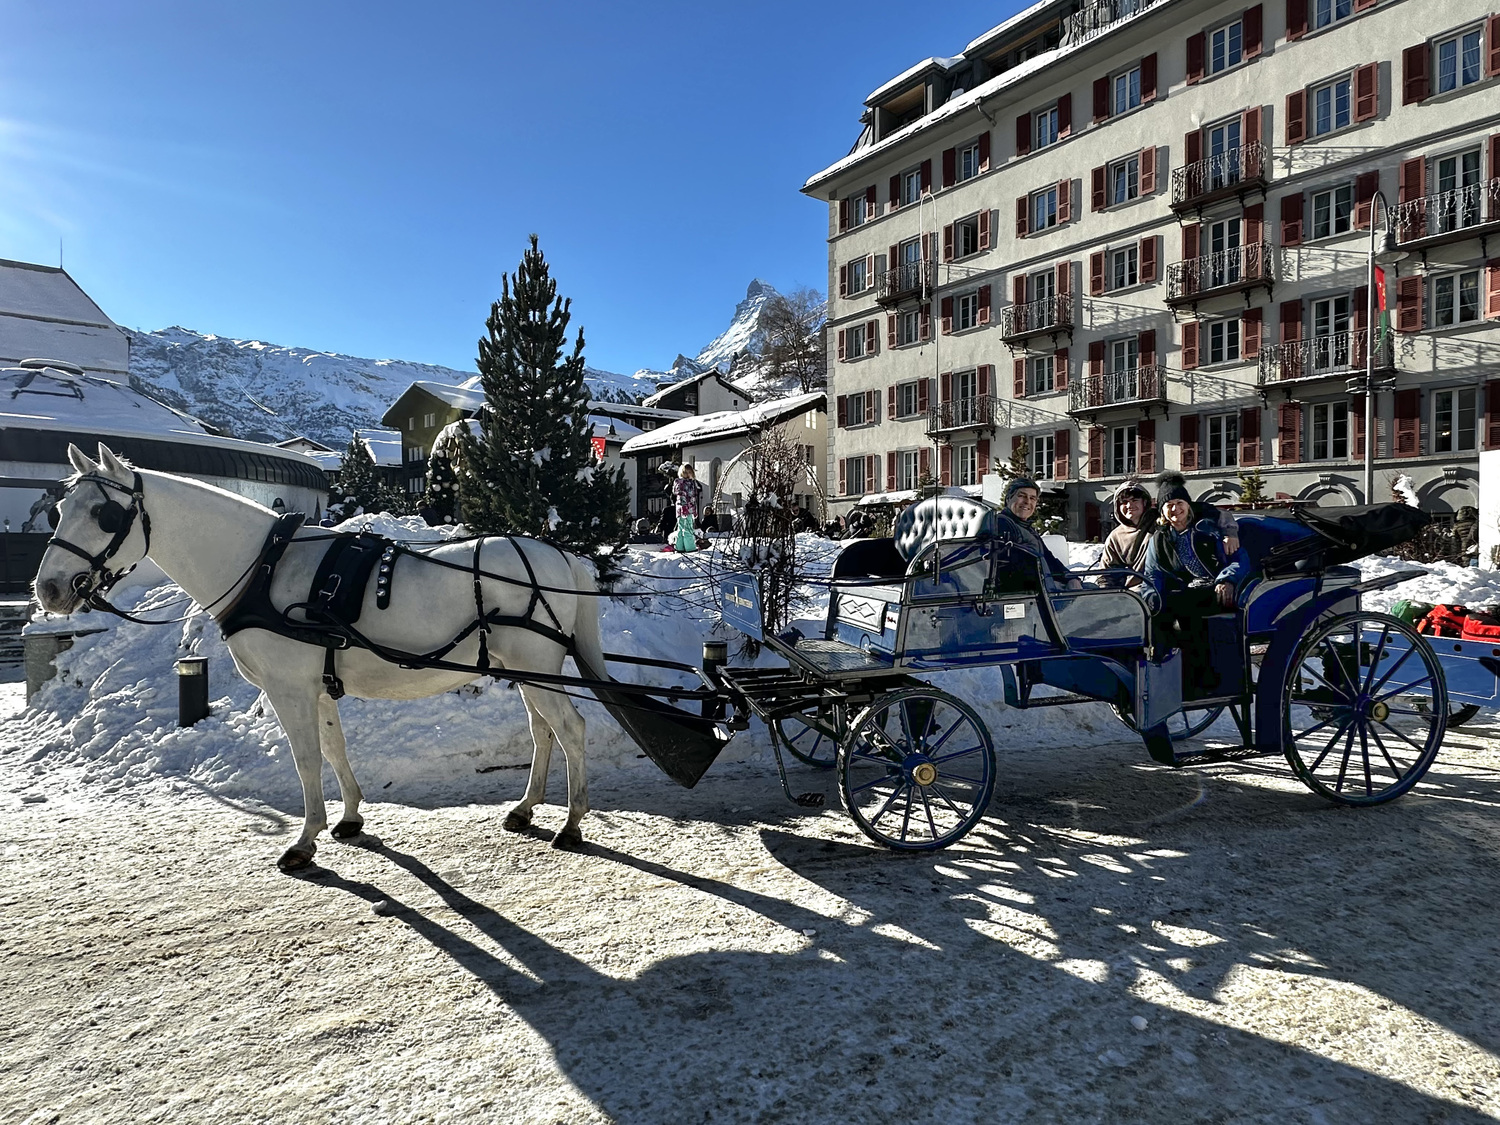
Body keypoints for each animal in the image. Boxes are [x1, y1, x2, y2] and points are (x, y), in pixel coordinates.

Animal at [30, 444, 603, 870]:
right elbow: (334, 747)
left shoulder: (288, 688)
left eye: (105, 516)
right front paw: (349, 819)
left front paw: (304, 841)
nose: (49, 590)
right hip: (522, 670)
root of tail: (563, 557)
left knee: (571, 730)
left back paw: (572, 823)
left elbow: (306, 759)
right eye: (58, 510)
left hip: (537, 668)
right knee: (543, 731)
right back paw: (526, 809)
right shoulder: (316, 684)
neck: (263, 567)